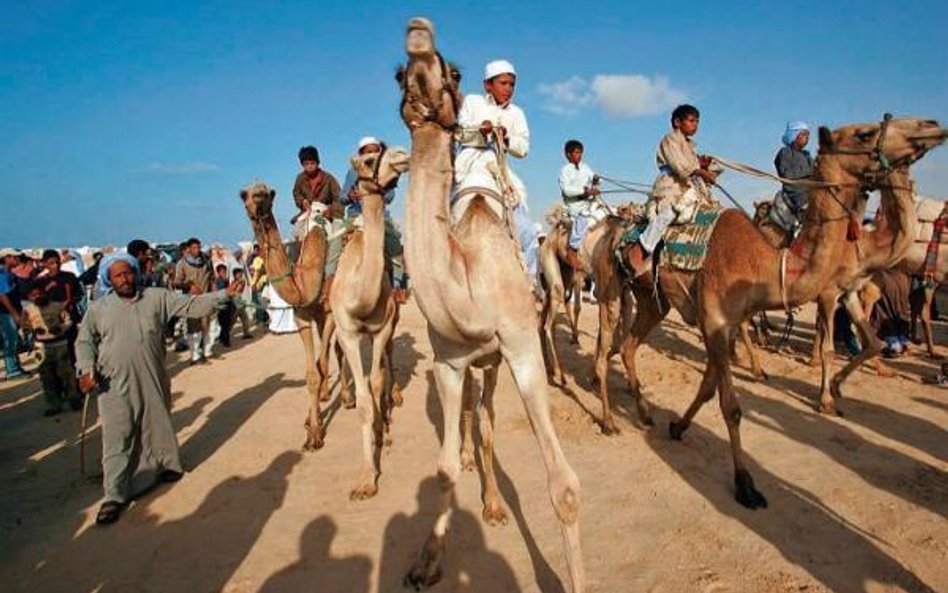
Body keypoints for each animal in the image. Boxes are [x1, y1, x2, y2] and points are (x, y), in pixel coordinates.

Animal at [239, 178, 350, 450]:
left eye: (268, 193)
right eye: (243, 194)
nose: (258, 198)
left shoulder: (330, 312)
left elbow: (322, 362)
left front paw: (316, 431)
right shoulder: (303, 317)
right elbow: (312, 372)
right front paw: (312, 427)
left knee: (339, 349)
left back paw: (347, 397)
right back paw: (326, 393)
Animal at [394, 17, 584, 592]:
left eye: (455, 72)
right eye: (397, 75)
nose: (418, 35)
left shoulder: (522, 351)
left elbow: (563, 487)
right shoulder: (448, 363)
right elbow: (443, 468)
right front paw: (426, 562)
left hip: (502, 358)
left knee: (489, 420)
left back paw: (495, 504)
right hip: (477, 365)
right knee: (474, 422)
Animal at [612, 117, 944, 508]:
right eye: (863, 133)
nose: (932, 125)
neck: (766, 262)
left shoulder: (724, 323)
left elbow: (709, 388)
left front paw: (678, 426)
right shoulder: (720, 319)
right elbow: (732, 406)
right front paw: (746, 484)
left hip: (654, 299)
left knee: (629, 345)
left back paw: (645, 411)